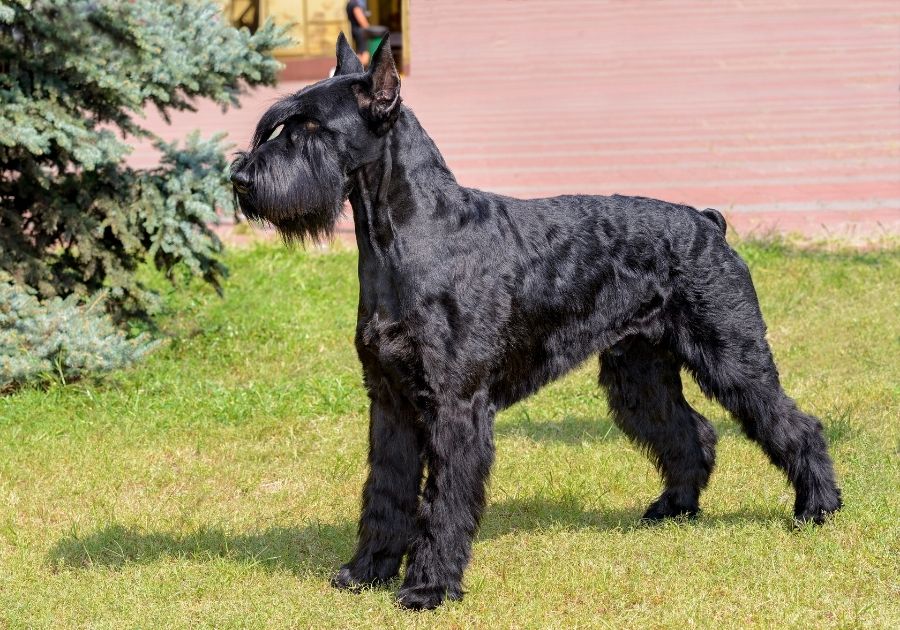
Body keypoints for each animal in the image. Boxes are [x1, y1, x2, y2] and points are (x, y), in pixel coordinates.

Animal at [232, 34, 844, 612]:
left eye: (311, 127)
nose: (240, 176)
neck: (405, 238)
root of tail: (709, 220)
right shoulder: (389, 400)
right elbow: (386, 491)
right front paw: (365, 572)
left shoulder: (455, 407)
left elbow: (442, 502)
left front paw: (428, 588)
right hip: (638, 372)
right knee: (691, 431)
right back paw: (674, 508)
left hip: (732, 355)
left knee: (795, 424)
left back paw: (818, 508)